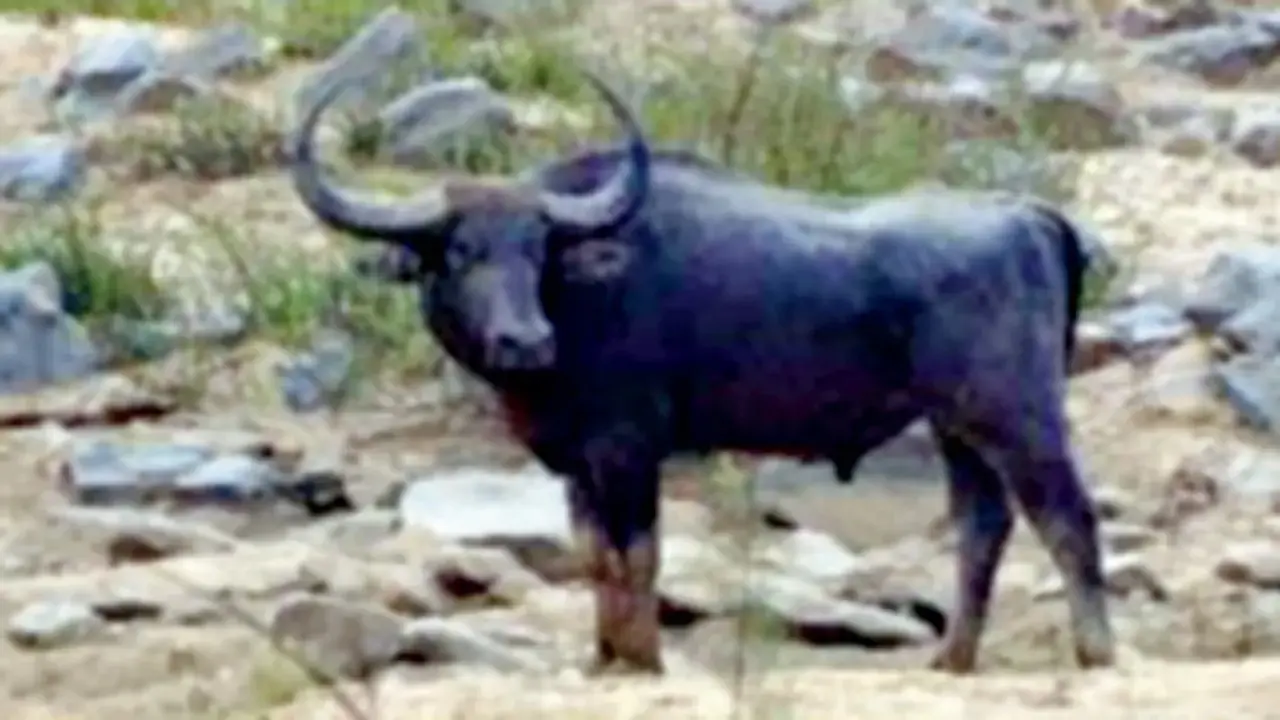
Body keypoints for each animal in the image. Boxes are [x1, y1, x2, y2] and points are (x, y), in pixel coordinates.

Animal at [289, 68, 1115, 675]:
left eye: (536, 249)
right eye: (459, 251)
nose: (524, 340)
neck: (586, 294)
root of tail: (1028, 214)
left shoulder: (627, 450)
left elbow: (638, 556)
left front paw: (643, 660)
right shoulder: (577, 465)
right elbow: (596, 556)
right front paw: (605, 659)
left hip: (1017, 415)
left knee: (1067, 517)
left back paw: (1094, 654)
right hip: (956, 429)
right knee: (984, 525)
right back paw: (952, 661)